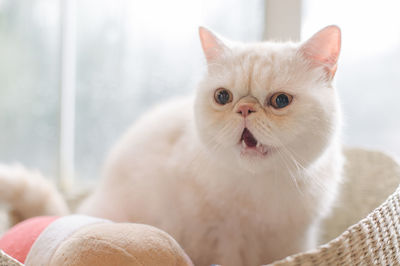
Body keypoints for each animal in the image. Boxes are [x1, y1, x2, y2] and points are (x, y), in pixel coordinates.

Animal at [0, 25, 344, 266]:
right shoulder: (222, 240)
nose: (245, 109)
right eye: (223, 97)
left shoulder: (296, 239)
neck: (262, 185)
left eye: (281, 101)